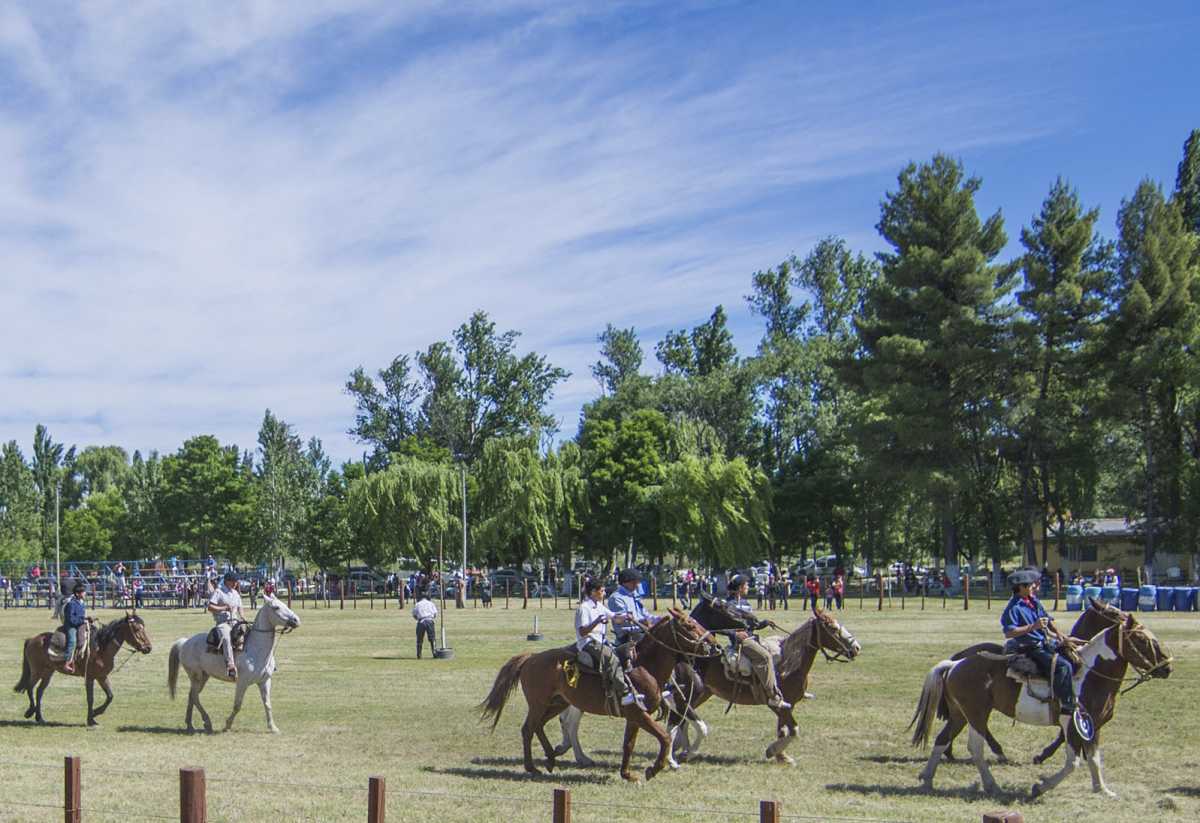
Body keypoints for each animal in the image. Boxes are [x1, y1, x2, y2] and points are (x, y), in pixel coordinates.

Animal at [12, 611, 153, 729]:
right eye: (136, 629)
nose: (148, 648)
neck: (100, 648)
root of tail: (32, 639)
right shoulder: (89, 677)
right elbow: (90, 698)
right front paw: (91, 719)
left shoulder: (102, 676)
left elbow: (110, 696)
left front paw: (95, 713)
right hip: (37, 670)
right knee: (30, 688)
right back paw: (30, 712)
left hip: (48, 672)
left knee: (39, 691)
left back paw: (40, 718)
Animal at [166, 597, 300, 739]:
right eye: (276, 607)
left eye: (284, 604)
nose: (296, 620)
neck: (256, 649)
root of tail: (185, 642)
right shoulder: (242, 682)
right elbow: (237, 705)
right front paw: (227, 725)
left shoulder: (265, 681)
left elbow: (267, 704)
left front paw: (273, 727)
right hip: (196, 676)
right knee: (195, 696)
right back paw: (207, 722)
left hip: (203, 677)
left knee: (191, 696)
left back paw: (190, 725)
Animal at [475, 609, 720, 782]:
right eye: (689, 625)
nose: (715, 646)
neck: (645, 666)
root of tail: (531, 658)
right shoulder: (640, 714)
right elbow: (665, 737)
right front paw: (653, 769)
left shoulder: (635, 717)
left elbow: (629, 744)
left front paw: (627, 774)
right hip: (539, 703)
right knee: (529, 728)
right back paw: (533, 767)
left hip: (557, 702)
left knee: (539, 726)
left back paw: (551, 759)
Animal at [907, 611, 1171, 801]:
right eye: (1141, 639)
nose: (1167, 667)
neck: (1089, 675)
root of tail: (955, 664)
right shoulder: (1072, 724)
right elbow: (1073, 762)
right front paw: (1040, 787)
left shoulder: (1093, 726)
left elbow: (1094, 758)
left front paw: (1102, 790)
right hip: (977, 714)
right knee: (976, 748)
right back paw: (992, 785)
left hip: (960, 715)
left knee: (942, 740)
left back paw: (928, 779)